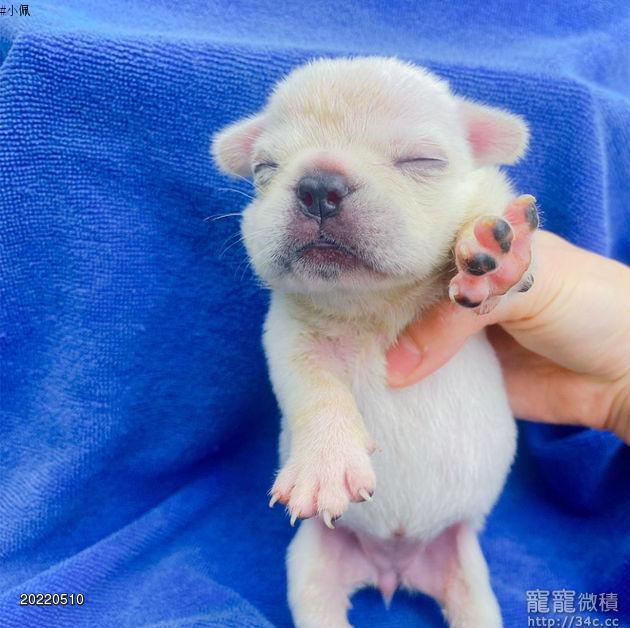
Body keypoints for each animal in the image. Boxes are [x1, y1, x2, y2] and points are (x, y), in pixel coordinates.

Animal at [212, 57, 537, 627]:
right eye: (265, 168)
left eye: (422, 160)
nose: (319, 184)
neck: (372, 306)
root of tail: (394, 567)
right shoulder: (288, 339)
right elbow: (315, 392)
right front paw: (325, 460)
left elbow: (486, 210)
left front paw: (499, 252)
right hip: (313, 564)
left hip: (468, 574)